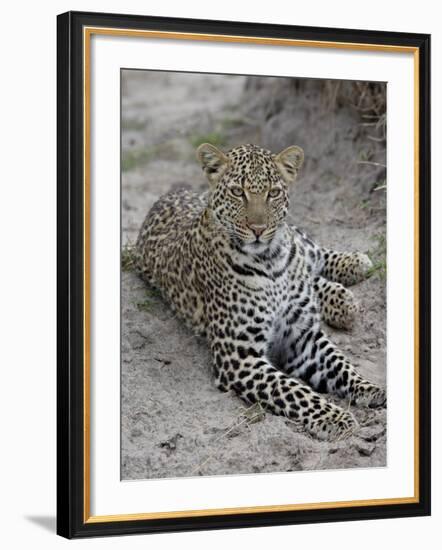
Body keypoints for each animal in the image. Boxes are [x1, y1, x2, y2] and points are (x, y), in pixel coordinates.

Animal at [136, 143, 386, 444]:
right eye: (237, 192)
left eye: (273, 193)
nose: (258, 229)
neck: (270, 261)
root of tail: (168, 195)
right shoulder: (240, 357)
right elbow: (293, 390)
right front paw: (336, 418)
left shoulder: (303, 336)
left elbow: (342, 365)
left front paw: (371, 388)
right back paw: (343, 299)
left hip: (297, 239)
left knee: (310, 254)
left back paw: (352, 269)